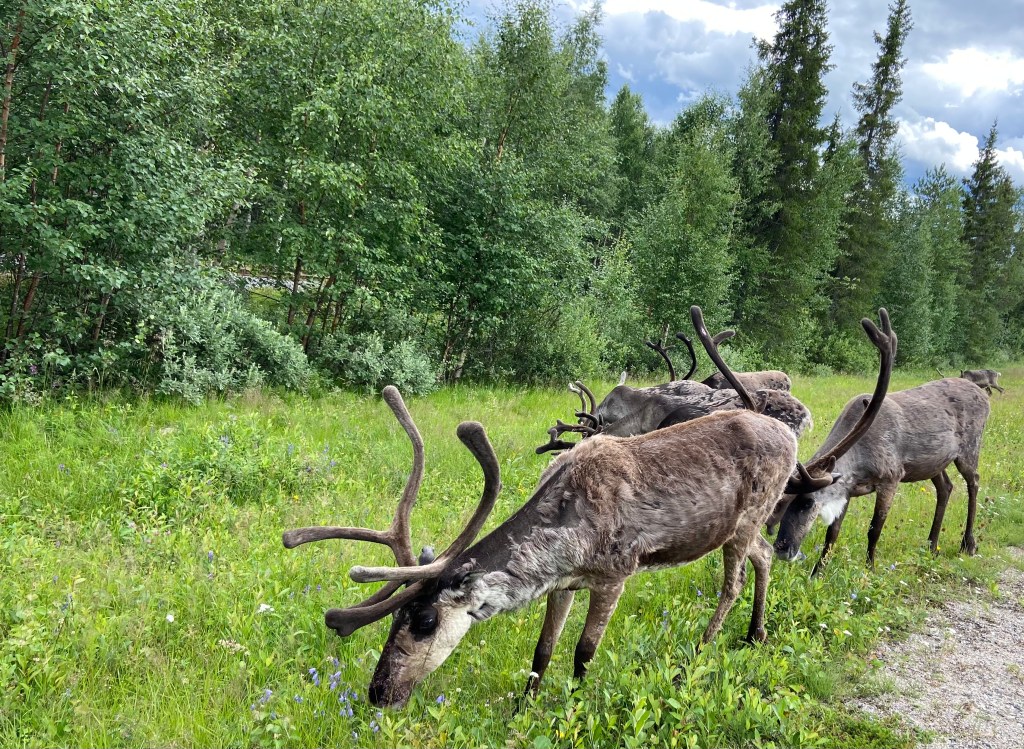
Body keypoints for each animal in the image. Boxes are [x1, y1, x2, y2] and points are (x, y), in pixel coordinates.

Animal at [282, 306, 892, 708]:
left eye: (425, 620)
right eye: (396, 618)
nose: (378, 691)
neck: (565, 542)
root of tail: (789, 436)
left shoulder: (615, 574)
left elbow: (582, 653)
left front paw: (571, 708)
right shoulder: (563, 584)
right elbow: (542, 652)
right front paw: (522, 710)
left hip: (745, 519)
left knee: (736, 579)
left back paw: (701, 650)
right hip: (740, 527)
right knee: (764, 556)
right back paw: (754, 635)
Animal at [771, 369, 990, 576]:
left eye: (807, 502)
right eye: (779, 503)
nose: (781, 548)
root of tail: (983, 394)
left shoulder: (891, 478)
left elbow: (874, 529)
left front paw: (870, 568)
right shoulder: (847, 489)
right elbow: (832, 532)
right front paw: (818, 573)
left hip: (969, 450)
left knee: (974, 482)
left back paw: (968, 544)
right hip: (934, 463)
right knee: (946, 487)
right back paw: (931, 546)